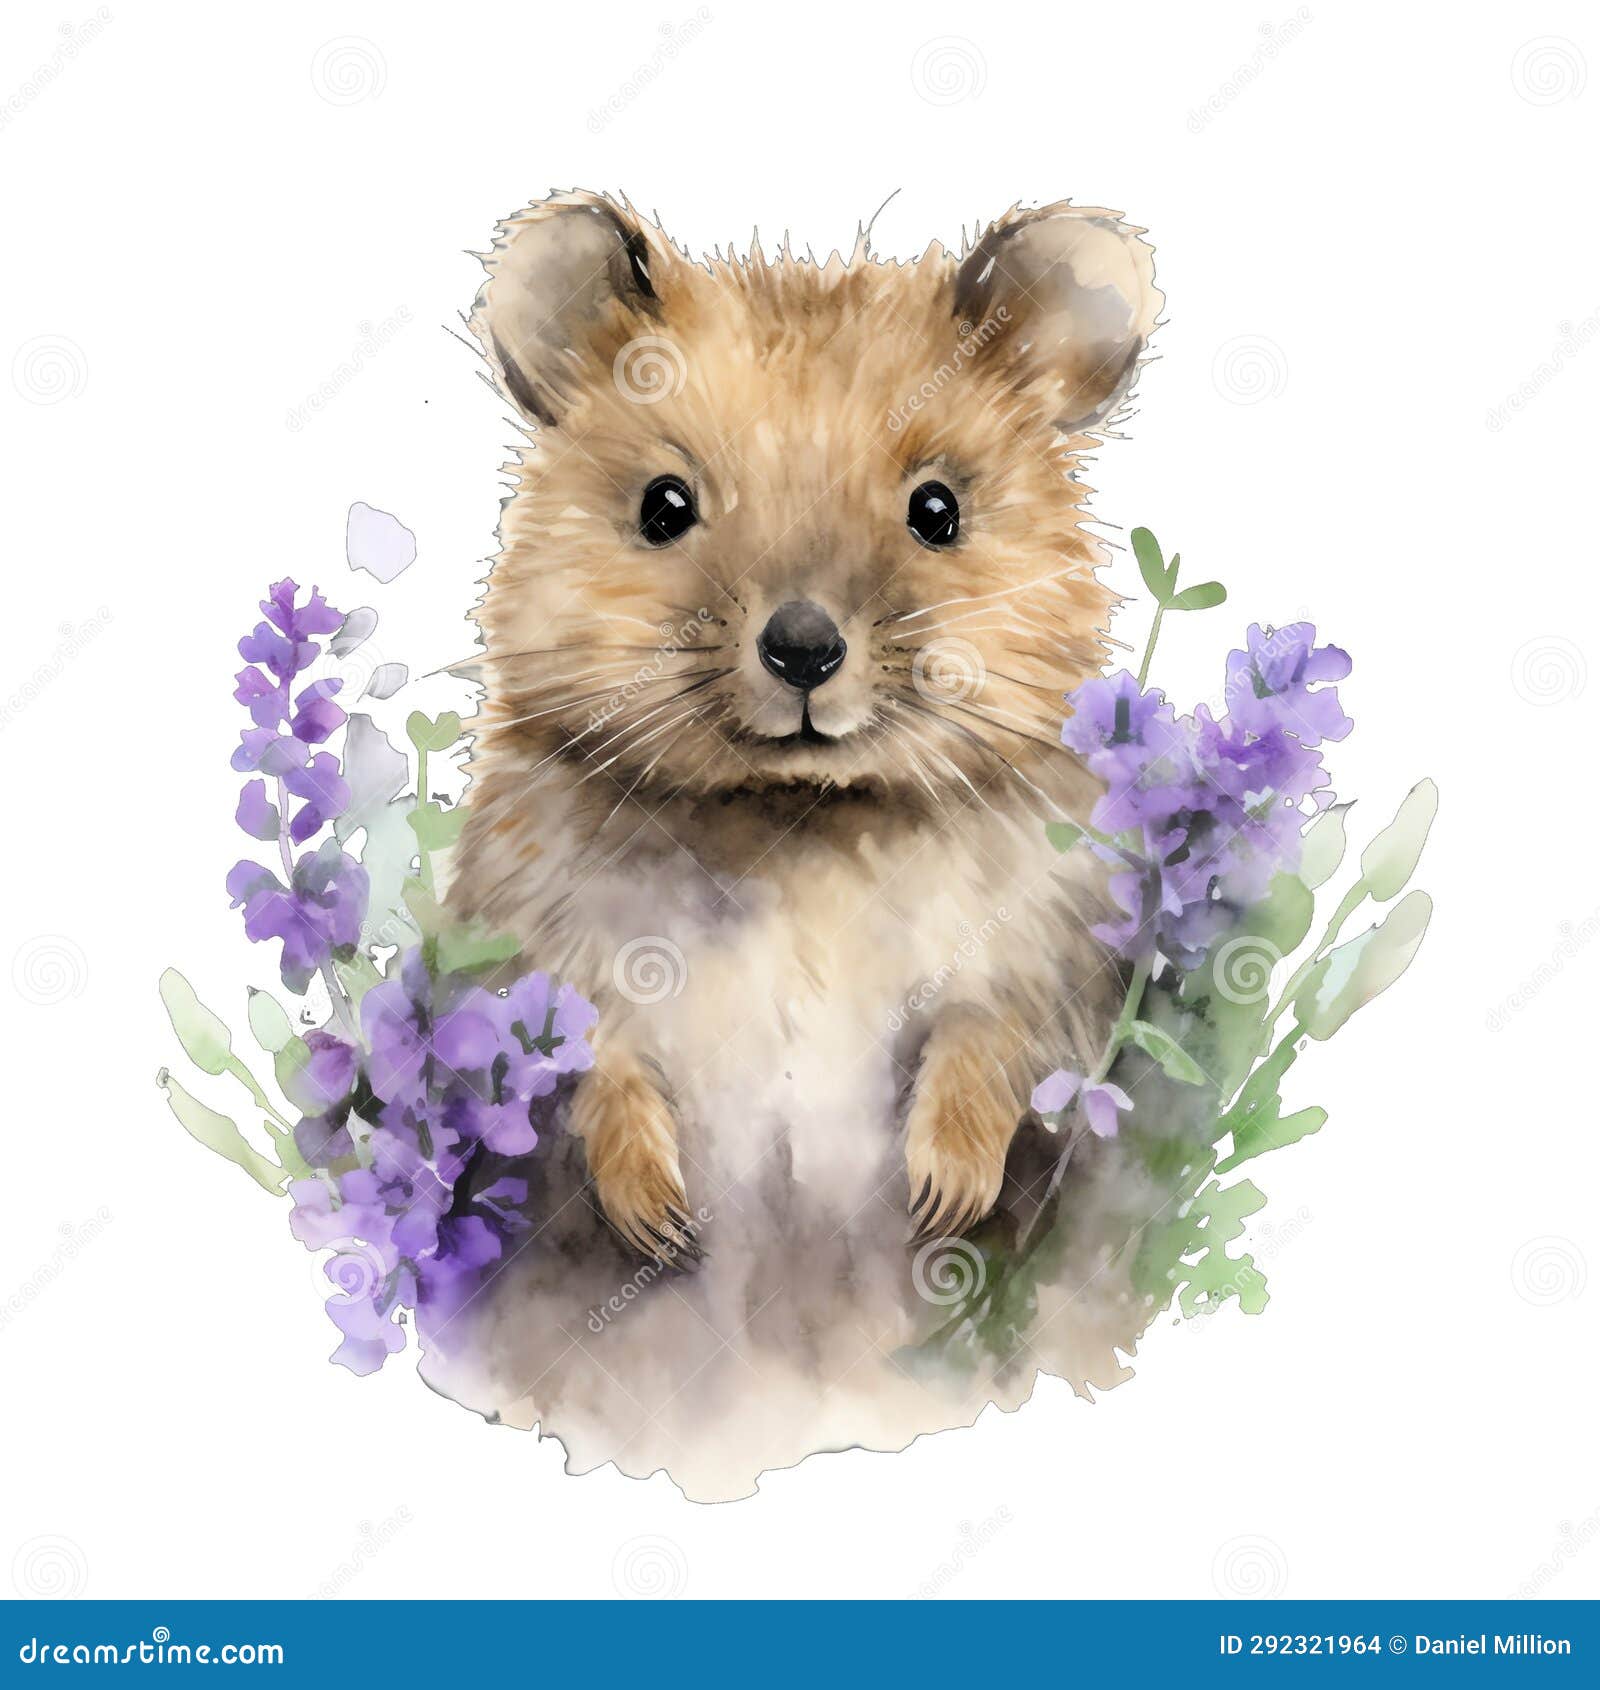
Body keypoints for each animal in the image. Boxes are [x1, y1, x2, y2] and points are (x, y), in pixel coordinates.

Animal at [440, 190, 1163, 1493]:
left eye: (939, 510)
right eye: (662, 505)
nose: (803, 650)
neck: (802, 822)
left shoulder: (1044, 957)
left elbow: (987, 1046)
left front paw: (940, 1194)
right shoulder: (535, 952)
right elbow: (592, 1070)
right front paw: (660, 1212)